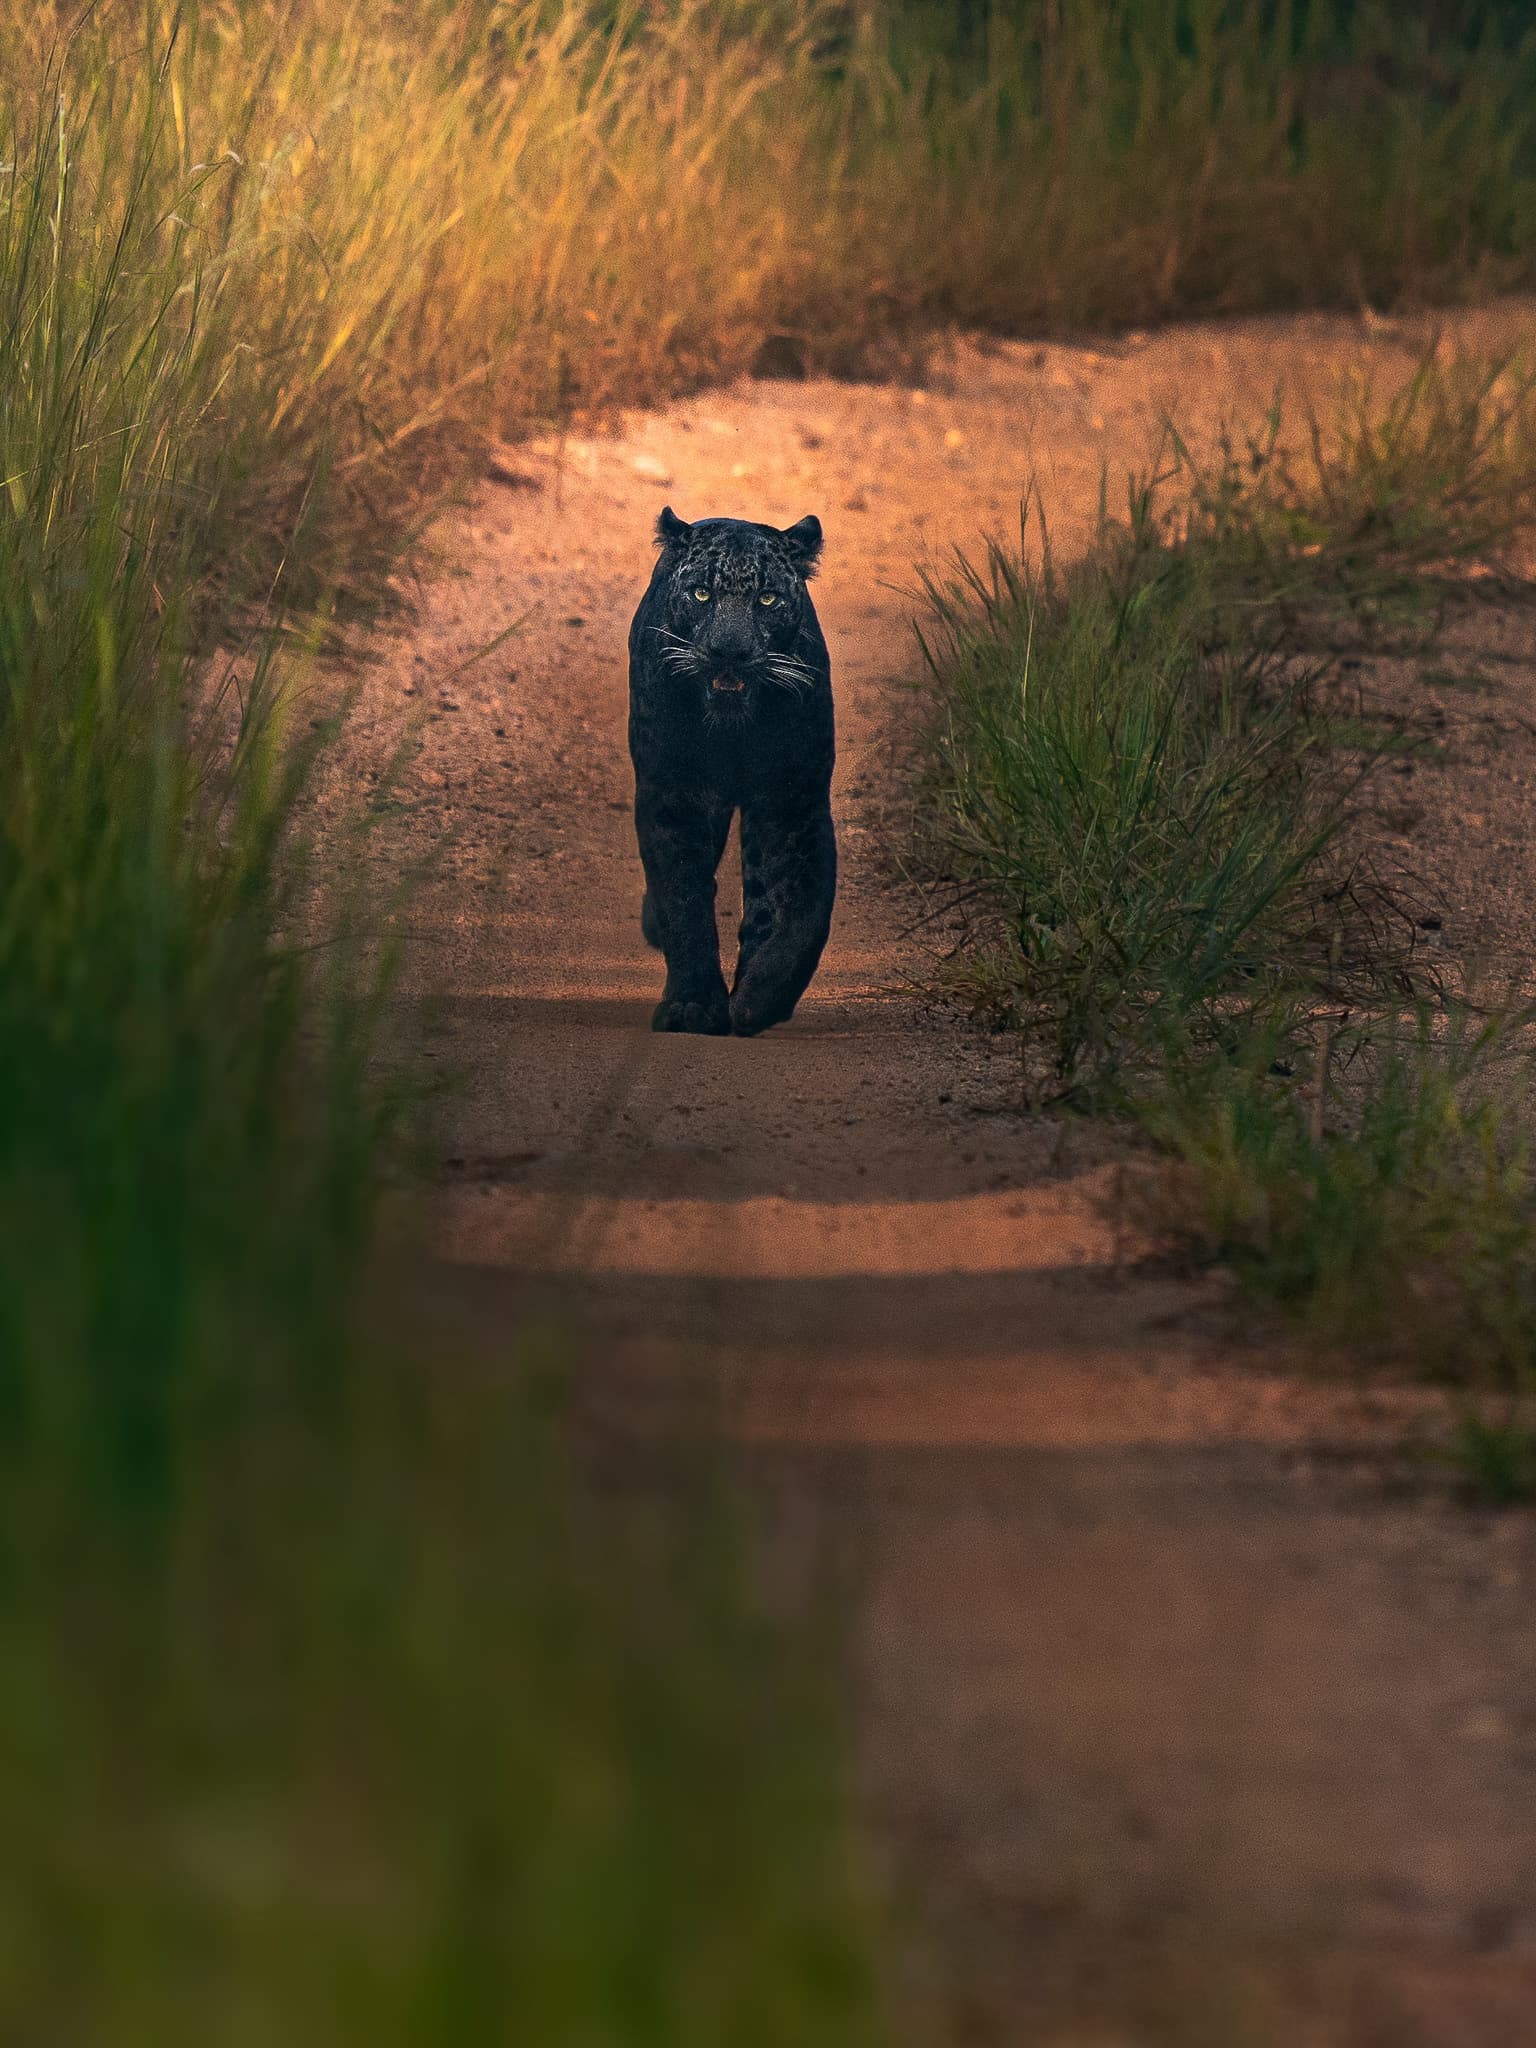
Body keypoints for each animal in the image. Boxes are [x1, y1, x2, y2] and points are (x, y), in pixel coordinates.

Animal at [628, 505, 836, 1037]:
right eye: (703, 593)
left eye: (767, 598)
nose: (729, 651)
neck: (730, 734)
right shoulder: (675, 798)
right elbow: (684, 899)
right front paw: (693, 1007)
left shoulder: (789, 802)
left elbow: (793, 910)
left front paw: (759, 1001)